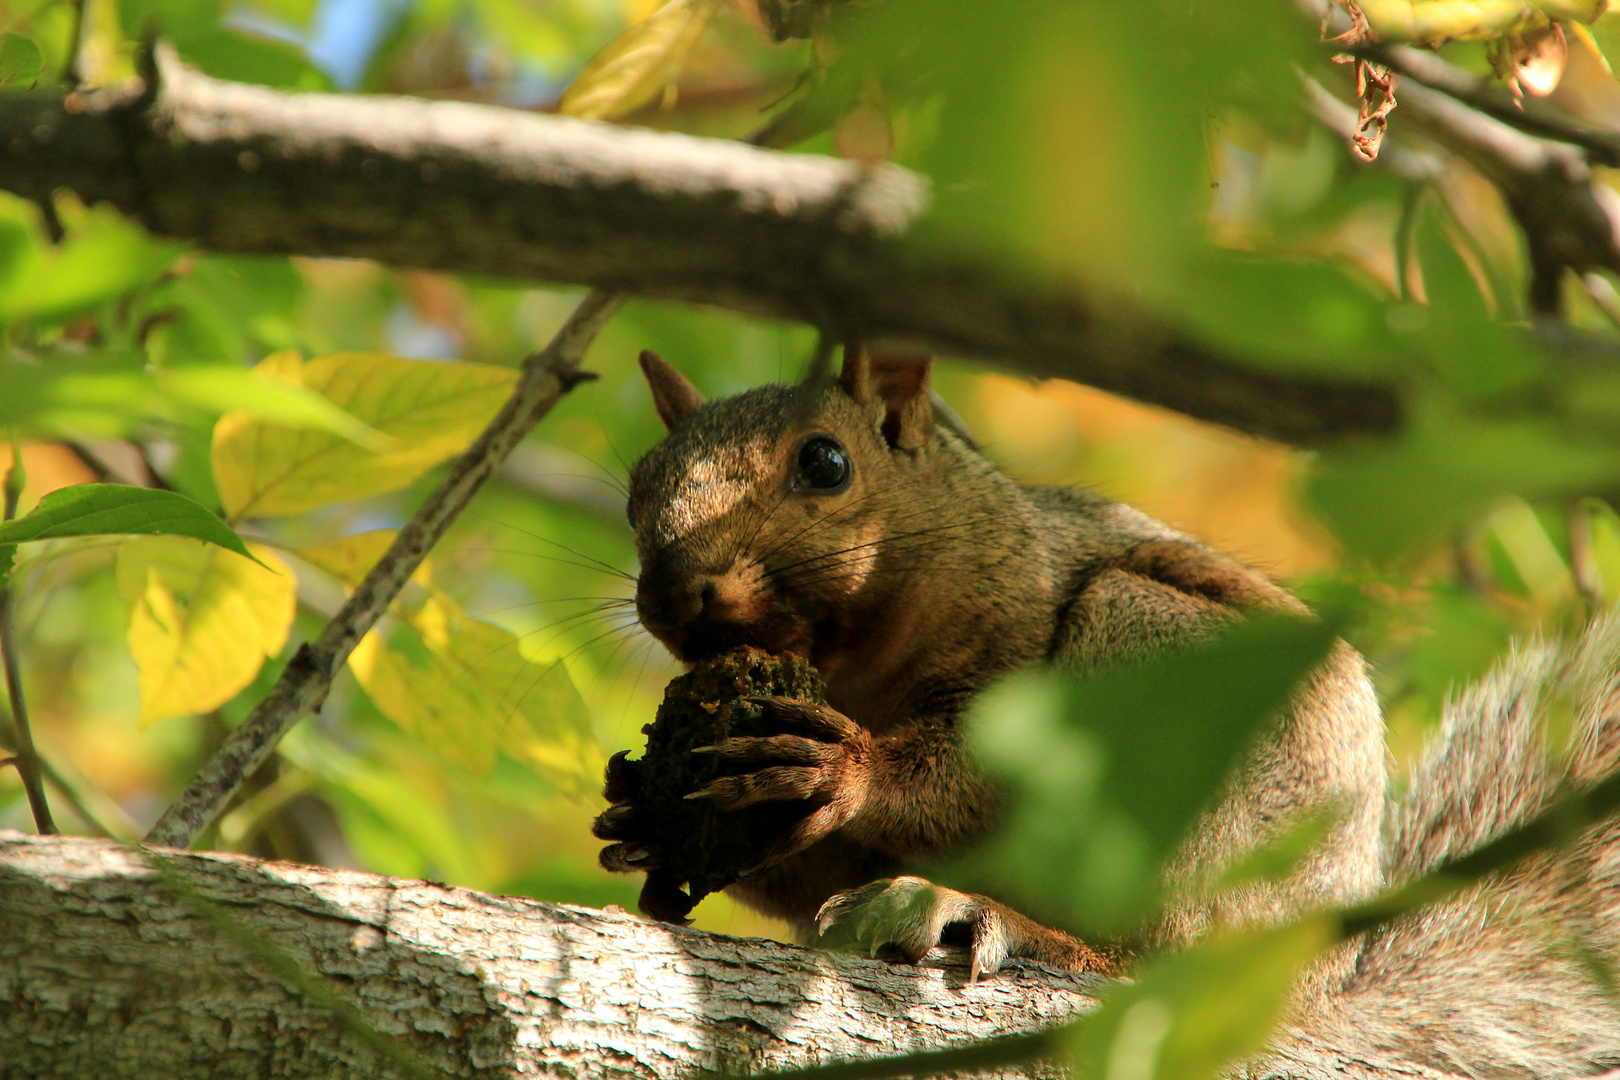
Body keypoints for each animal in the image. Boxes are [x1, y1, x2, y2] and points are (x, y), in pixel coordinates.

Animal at [589, 344, 1620, 1075]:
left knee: (1149, 961)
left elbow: (967, 778)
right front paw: (637, 816)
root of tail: (1306, 981)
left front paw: (846, 769)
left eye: (825, 463)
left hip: (1174, 695)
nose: (675, 595)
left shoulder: (1019, 634)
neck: (852, 673)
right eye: (637, 491)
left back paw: (991, 919)